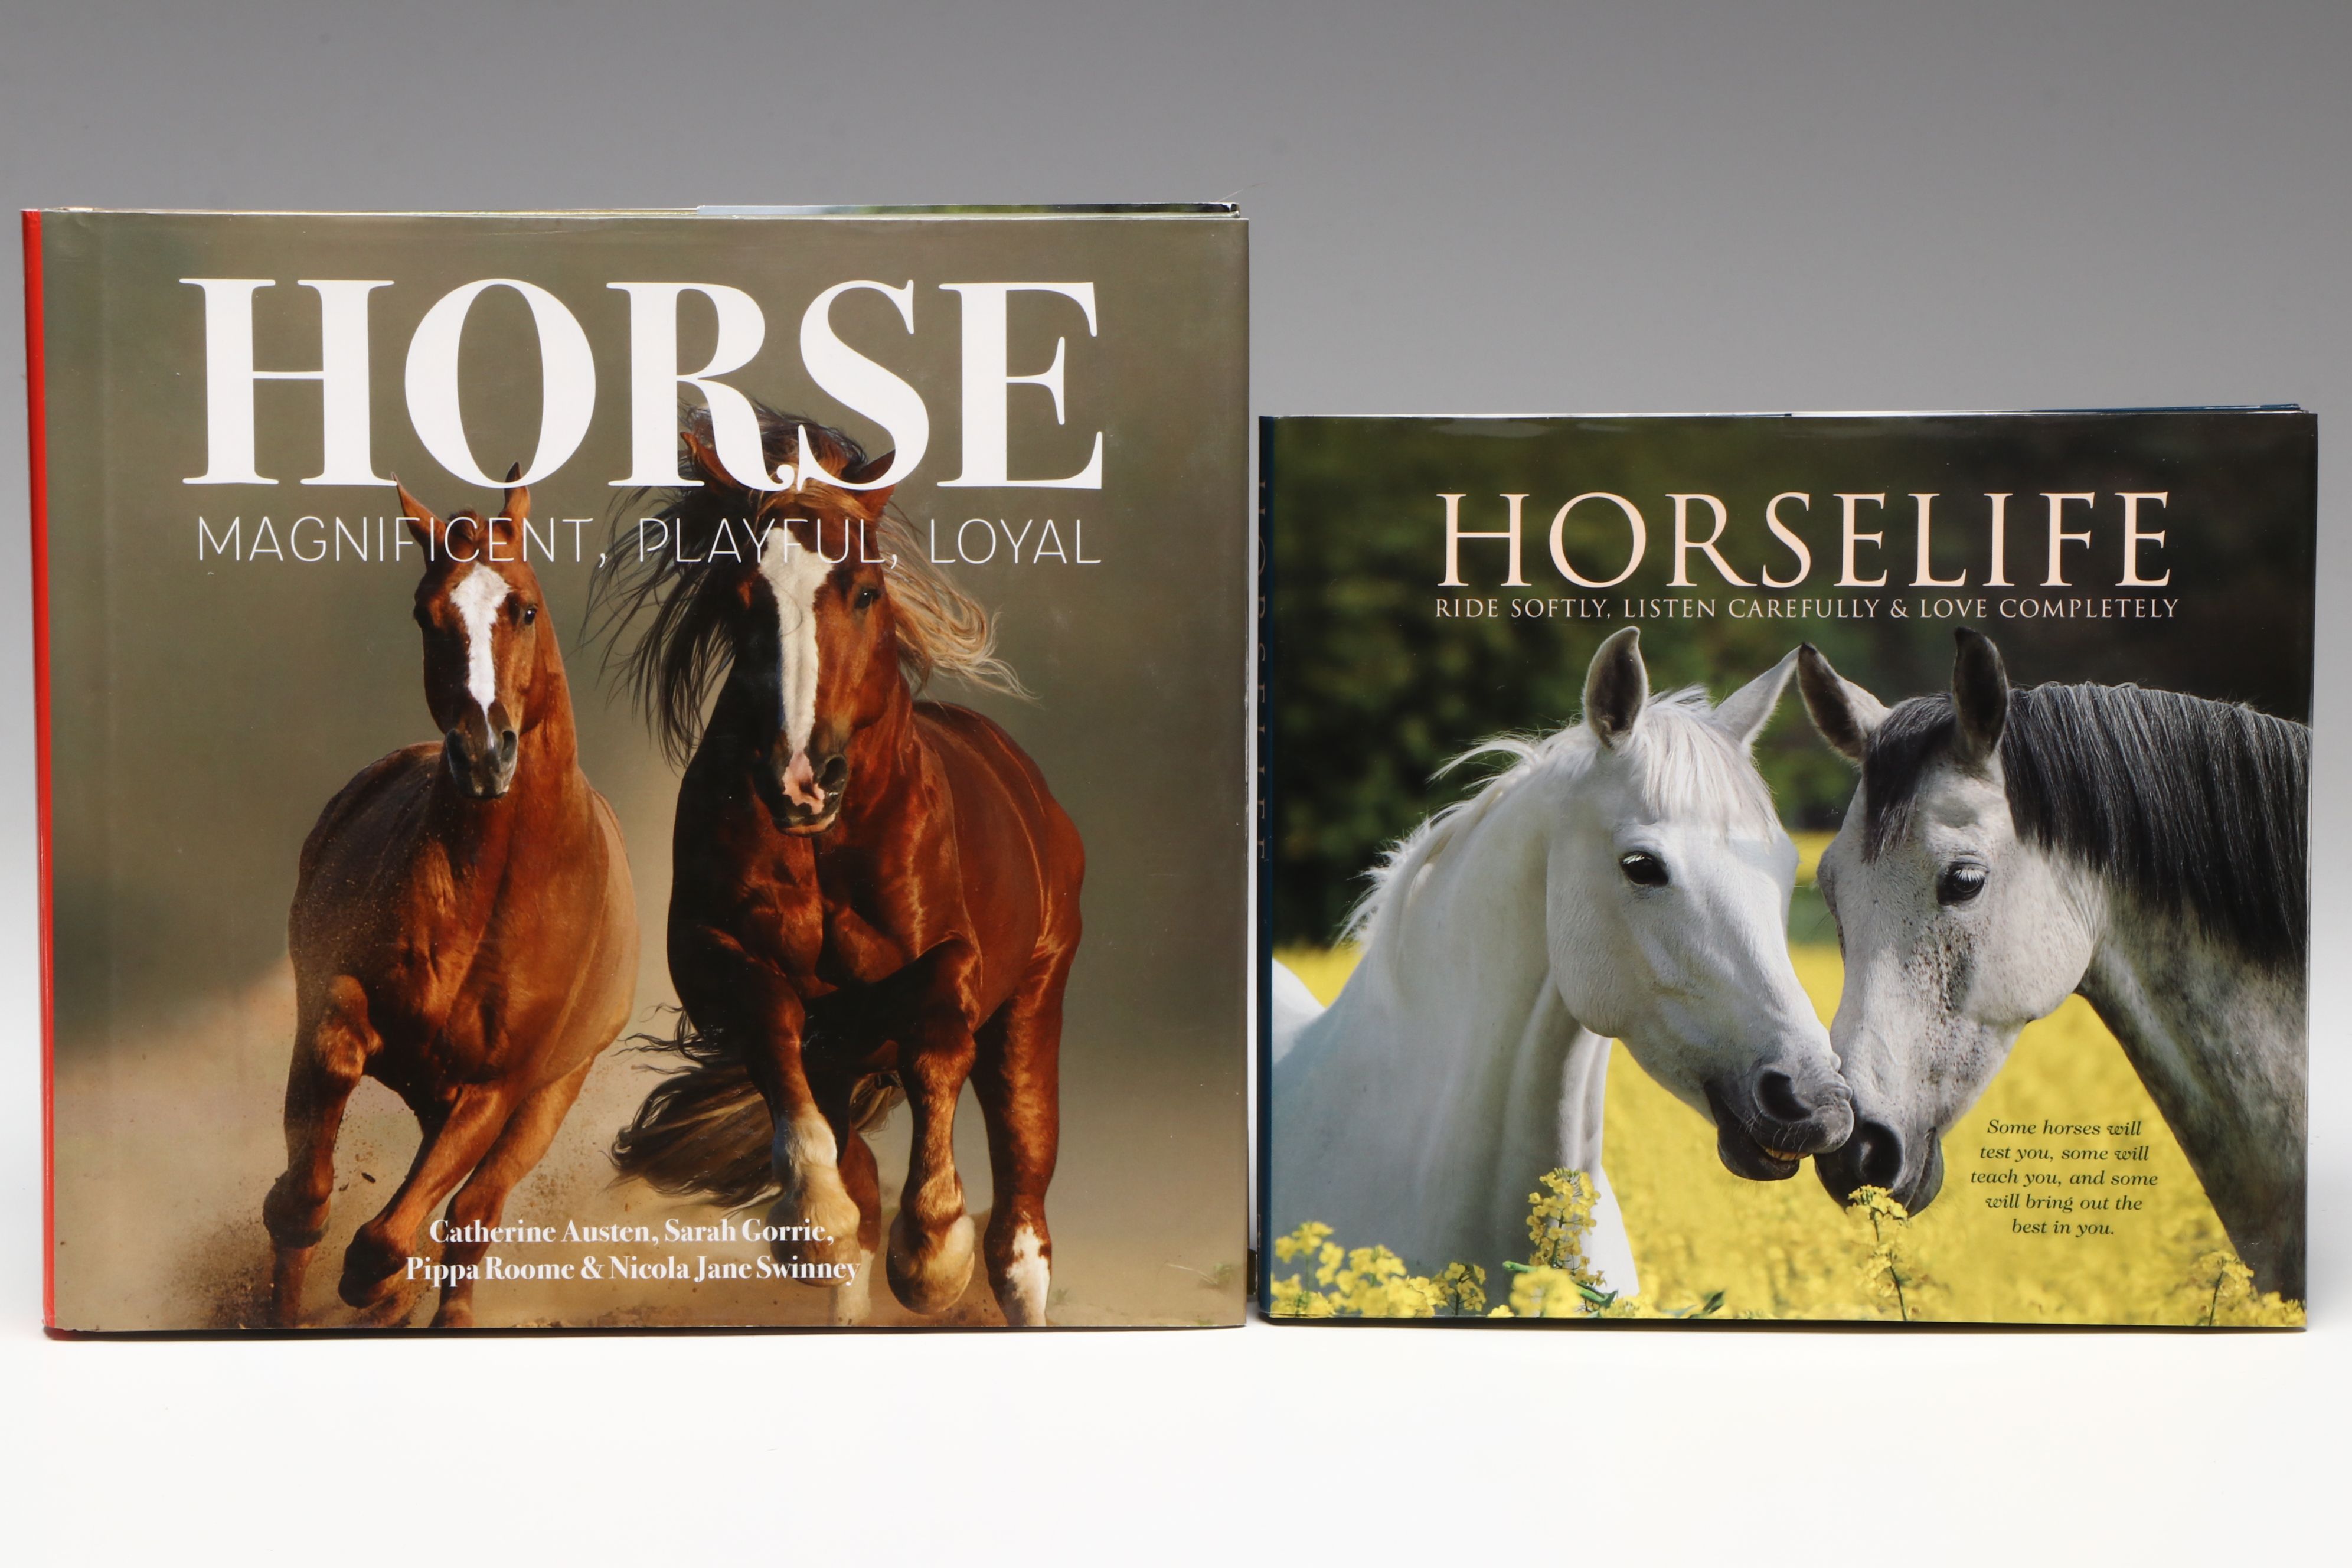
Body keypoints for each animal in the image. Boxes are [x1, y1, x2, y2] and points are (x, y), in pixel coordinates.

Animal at [261, 470, 638, 1328]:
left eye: (524, 607)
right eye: (426, 614)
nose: (485, 753)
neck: (491, 893)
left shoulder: (497, 1090)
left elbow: (393, 1237)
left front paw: (383, 1288)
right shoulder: (339, 999)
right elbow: (308, 1186)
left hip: (549, 1098)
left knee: (472, 1217)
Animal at [600, 408, 1082, 1327]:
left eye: (863, 590)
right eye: (741, 597)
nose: (802, 778)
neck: (831, 845)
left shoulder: (951, 967)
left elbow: (938, 1051)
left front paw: (931, 1254)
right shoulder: (724, 963)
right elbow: (782, 1060)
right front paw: (814, 1221)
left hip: (1032, 1011)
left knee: (1022, 1236)